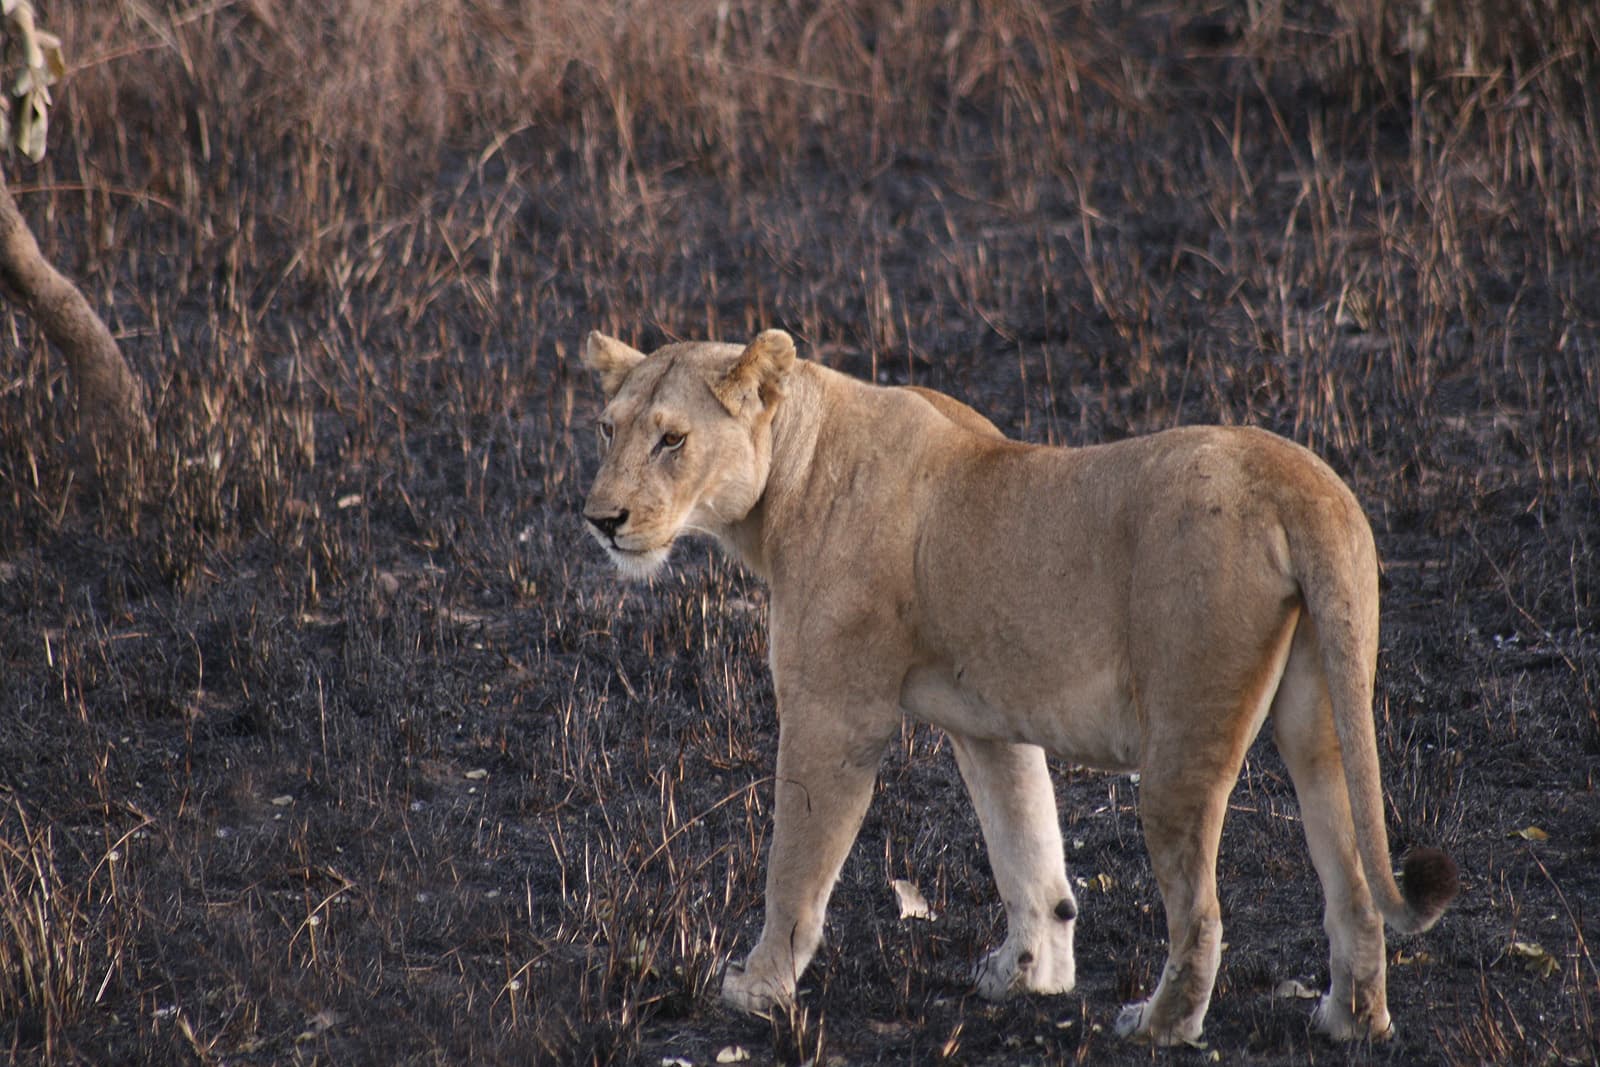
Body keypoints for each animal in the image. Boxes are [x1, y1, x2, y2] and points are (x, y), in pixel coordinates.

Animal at [579, 328, 1457, 1044]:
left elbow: (795, 863)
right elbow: (1027, 846)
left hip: (1184, 734)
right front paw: (1030, 971)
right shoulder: (988, 722)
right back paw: (1351, 1019)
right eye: (607, 428)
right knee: (1353, 885)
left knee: (1202, 914)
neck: (789, 472)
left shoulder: (834, 709)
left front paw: (758, 988)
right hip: (1322, 711)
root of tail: (1302, 481)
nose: (601, 519)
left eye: (672, 439)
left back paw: (1158, 1024)